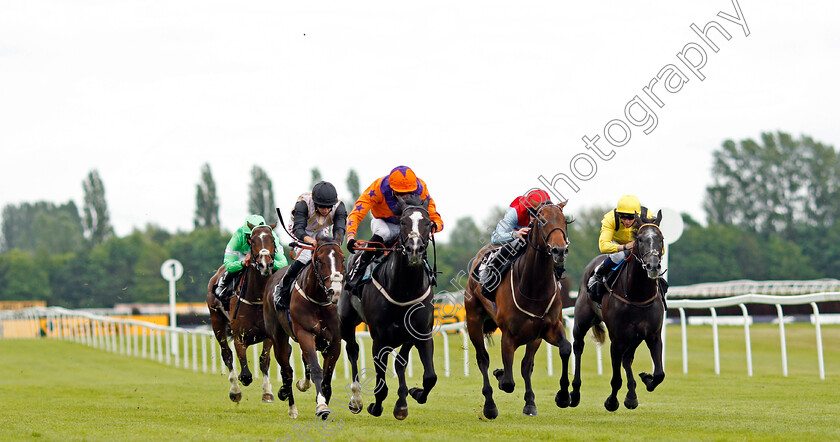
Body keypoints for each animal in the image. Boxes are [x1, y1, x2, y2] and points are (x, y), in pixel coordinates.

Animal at [205, 224, 278, 404]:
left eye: (272, 239)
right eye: (253, 241)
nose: (265, 265)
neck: (257, 298)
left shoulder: (269, 335)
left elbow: (264, 361)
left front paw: (267, 392)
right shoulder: (239, 336)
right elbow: (245, 374)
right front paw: (238, 388)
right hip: (216, 321)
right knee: (227, 354)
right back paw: (235, 391)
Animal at [260, 233, 342, 420]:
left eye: (342, 258)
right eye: (319, 260)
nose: (335, 291)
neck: (319, 301)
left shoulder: (334, 341)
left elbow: (326, 376)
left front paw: (323, 399)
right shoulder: (305, 333)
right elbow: (317, 369)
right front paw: (322, 406)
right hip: (278, 338)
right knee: (287, 371)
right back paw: (291, 407)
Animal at [336, 195, 436, 420]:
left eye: (427, 223)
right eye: (403, 222)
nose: (414, 248)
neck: (405, 289)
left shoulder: (421, 333)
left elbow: (429, 376)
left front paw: (411, 396)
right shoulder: (380, 339)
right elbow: (380, 385)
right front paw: (376, 406)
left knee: (400, 362)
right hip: (346, 321)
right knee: (352, 350)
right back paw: (356, 398)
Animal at [462, 203, 576, 418]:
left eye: (564, 221)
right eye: (542, 221)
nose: (560, 250)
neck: (534, 287)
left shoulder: (547, 329)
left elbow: (563, 349)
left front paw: (562, 397)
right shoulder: (508, 336)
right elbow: (507, 382)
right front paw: (500, 375)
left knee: (525, 365)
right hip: (473, 320)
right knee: (483, 359)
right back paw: (489, 406)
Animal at [568, 211, 668, 410]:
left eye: (660, 239)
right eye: (639, 239)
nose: (653, 266)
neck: (637, 295)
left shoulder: (652, 334)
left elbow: (659, 374)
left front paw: (646, 380)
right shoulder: (617, 338)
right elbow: (616, 378)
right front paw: (612, 401)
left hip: (635, 337)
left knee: (627, 359)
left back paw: (632, 395)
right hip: (582, 321)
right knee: (578, 346)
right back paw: (574, 393)